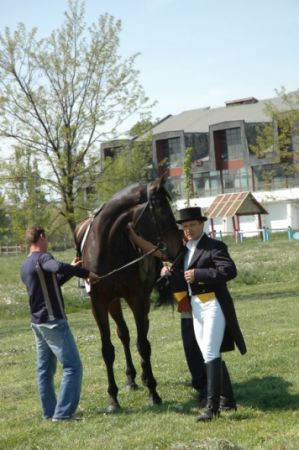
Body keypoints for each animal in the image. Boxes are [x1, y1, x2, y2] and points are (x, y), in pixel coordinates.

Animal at [75, 176, 183, 412]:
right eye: (161, 210)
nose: (178, 248)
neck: (109, 247)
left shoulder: (137, 299)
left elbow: (143, 344)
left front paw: (153, 392)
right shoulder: (99, 303)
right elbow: (107, 349)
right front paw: (112, 399)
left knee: (142, 333)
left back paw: (142, 377)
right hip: (114, 303)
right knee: (123, 334)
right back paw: (131, 379)